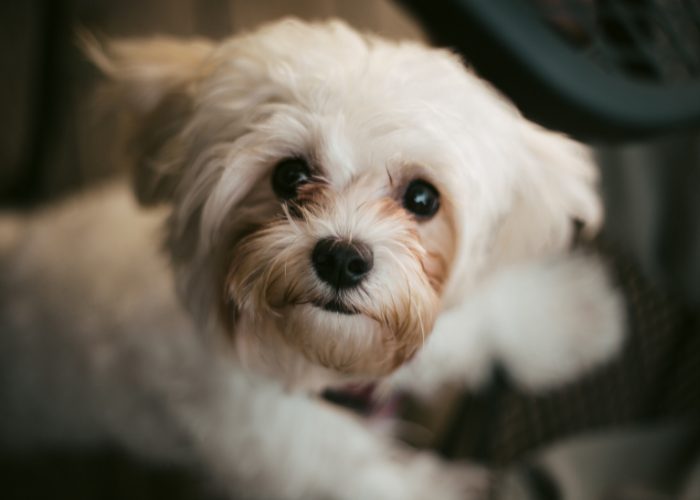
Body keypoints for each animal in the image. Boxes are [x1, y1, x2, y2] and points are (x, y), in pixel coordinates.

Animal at [0, 18, 624, 500]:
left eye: (423, 198)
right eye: (289, 175)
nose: (343, 259)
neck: (314, 366)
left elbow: (473, 321)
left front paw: (571, 315)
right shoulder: (293, 458)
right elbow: (374, 481)